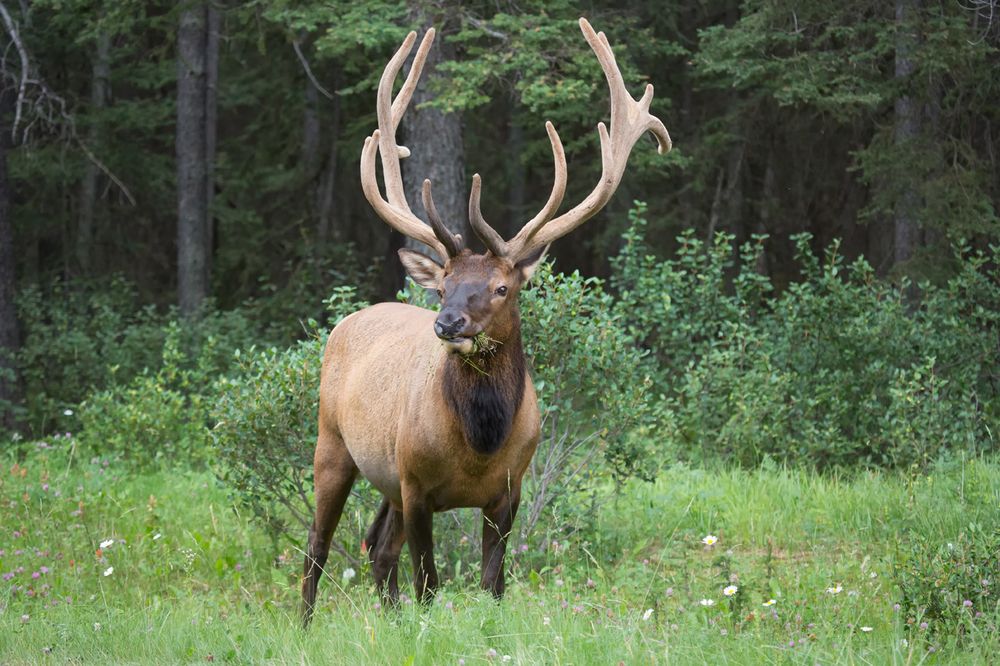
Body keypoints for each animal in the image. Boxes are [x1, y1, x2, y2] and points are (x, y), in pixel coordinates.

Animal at [298, 16, 672, 624]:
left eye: (501, 287)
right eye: (444, 285)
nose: (447, 324)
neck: (479, 445)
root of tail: (351, 320)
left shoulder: (509, 490)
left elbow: (493, 583)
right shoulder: (416, 483)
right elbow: (429, 582)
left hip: (383, 479)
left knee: (377, 549)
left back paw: (387, 617)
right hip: (334, 445)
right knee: (318, 546)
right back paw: (305, 627)